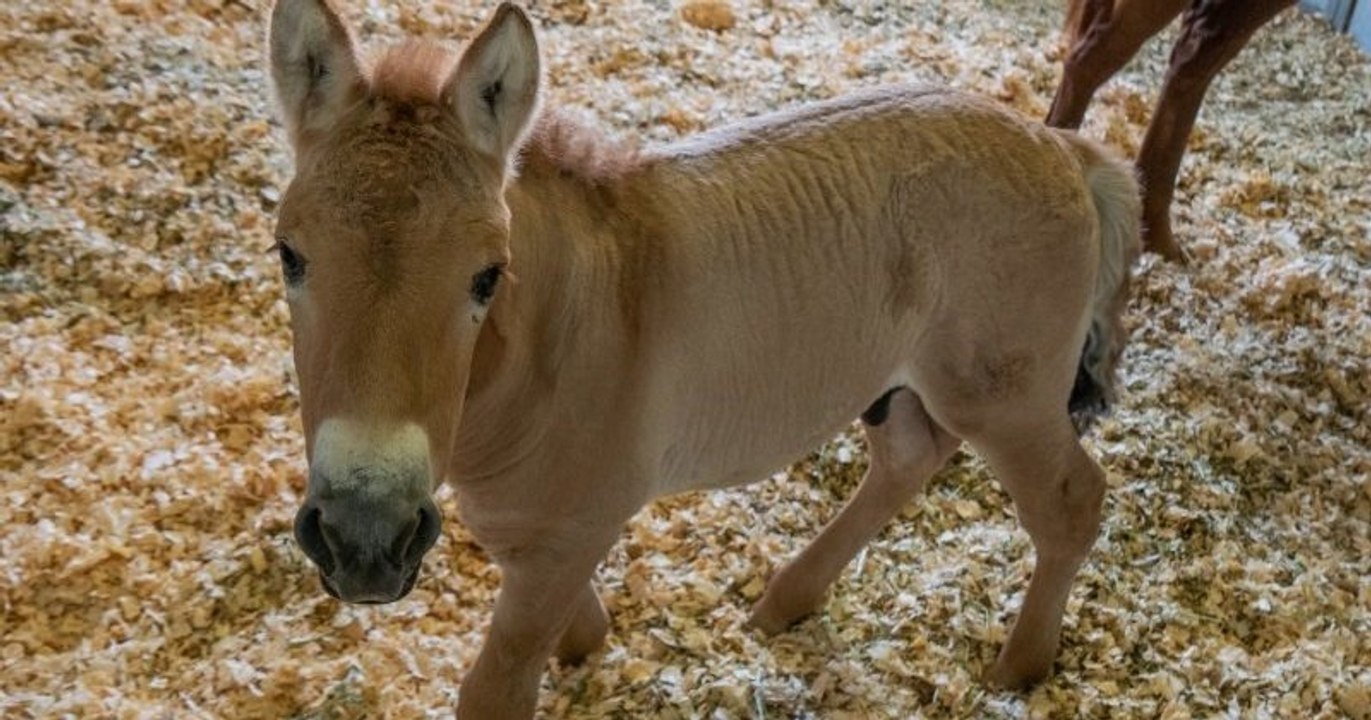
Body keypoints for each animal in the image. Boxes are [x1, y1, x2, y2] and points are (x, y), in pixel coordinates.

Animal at [265, 1, 1140, 716]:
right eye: (288, 255)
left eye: (487, 275)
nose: (363, 539)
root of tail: (1061, 146)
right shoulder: (529, 525)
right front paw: (588, 646)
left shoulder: (571, 529)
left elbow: (498, 686)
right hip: (897, 383)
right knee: (908, 458)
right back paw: (788, 599)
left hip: (1005, 397)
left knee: (1069, 501)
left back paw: (1019, 667)